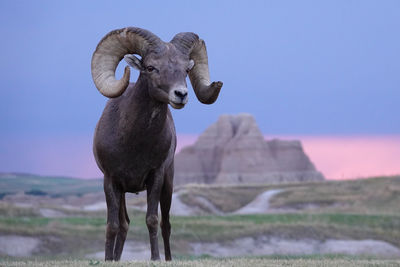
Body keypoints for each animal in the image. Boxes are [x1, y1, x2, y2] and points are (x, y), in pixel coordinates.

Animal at [90, 27, 222, 262]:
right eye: (151, 67)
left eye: (186, 69)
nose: (181, 95)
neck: (134, 144)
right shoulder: (111, 181)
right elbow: (112, 225)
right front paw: (108, 260)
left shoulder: (156, 177)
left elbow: (152, 219)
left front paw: (155, 258)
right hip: (123, 192)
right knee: (124, 224)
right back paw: (116, 258)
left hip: (168, 185)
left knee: (165, 224)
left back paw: (168, 259)